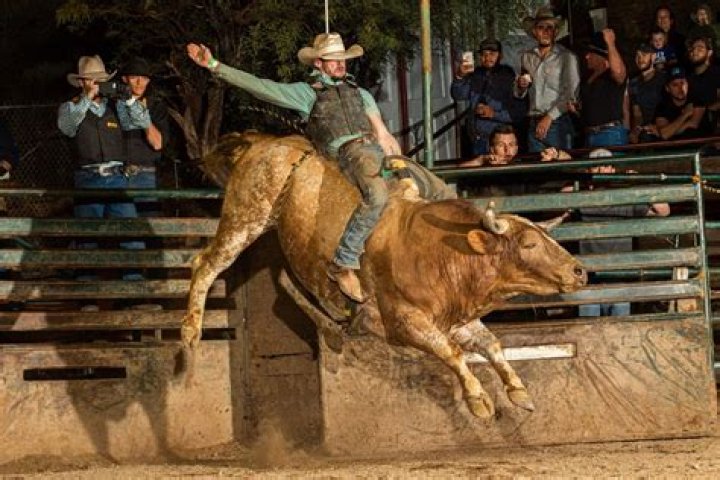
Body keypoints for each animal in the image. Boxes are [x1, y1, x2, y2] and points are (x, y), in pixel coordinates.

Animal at [182, 132, 587, 419]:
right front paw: (478, 400)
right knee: (205, 264)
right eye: (529, 243)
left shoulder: (457, 319)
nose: (579, 271)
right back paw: (189, 336)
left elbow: (492, 345)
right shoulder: (406, 322)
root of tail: (265, 143)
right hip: (246, 217)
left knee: (288, 284)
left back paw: (337, 328)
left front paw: (519, 392)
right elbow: (452, 352)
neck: (437, 251)